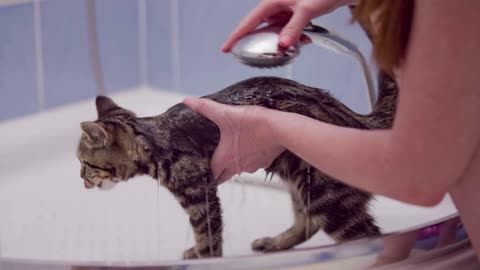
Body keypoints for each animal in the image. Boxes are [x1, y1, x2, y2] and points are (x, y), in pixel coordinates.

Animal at [76, 70, 398, 258]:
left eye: (84, 163)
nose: (80, 179)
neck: (153, 138)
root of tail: (357, 120)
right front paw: (196, 252)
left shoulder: (200, 195)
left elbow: (208, 236)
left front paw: (204, 258)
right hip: (300, 180)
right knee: (307, 222)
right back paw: (274, 244)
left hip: (327, 196)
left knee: (370, 237)